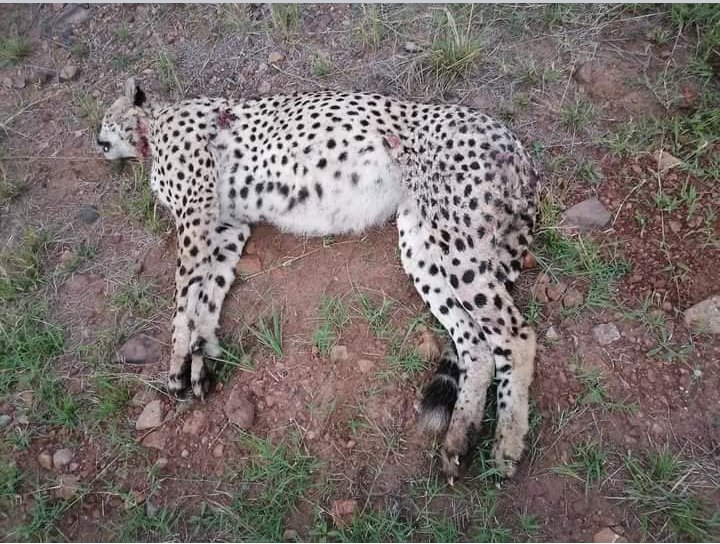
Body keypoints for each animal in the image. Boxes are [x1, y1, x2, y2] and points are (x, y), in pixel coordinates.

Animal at [97, 77, 540, 483]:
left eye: (105, 120)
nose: (98, 143)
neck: (153, 124)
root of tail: (508, 135)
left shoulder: (197, 213)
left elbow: (184, 294)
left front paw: (177, 362)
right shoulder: (226, 227)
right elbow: (207, 294)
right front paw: (202, 357)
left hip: (455, 238)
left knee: (515, 334)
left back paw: (506, 445)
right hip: (422, 243)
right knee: (476, 344)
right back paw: (459, 441)